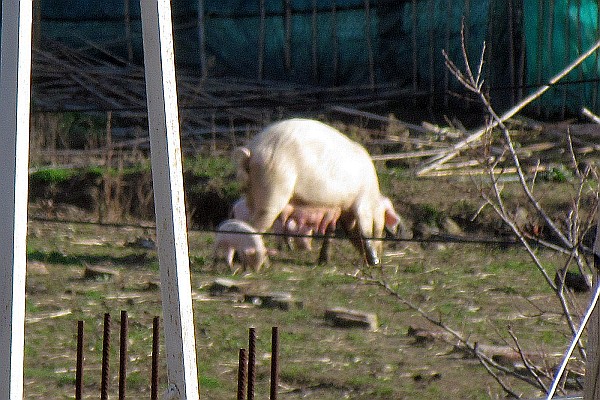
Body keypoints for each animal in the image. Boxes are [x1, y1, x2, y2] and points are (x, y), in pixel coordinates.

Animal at [237, 117, 400, 264]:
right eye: (382, 230)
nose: (379, 258)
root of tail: (252, 151)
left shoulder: (336, 208)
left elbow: (331, 232)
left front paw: (323, 261)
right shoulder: (362, 204)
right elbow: (365, 232)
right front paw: (374, 262)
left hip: (251, 193)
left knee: (243, 222)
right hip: (273, 187)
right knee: (254, 226)